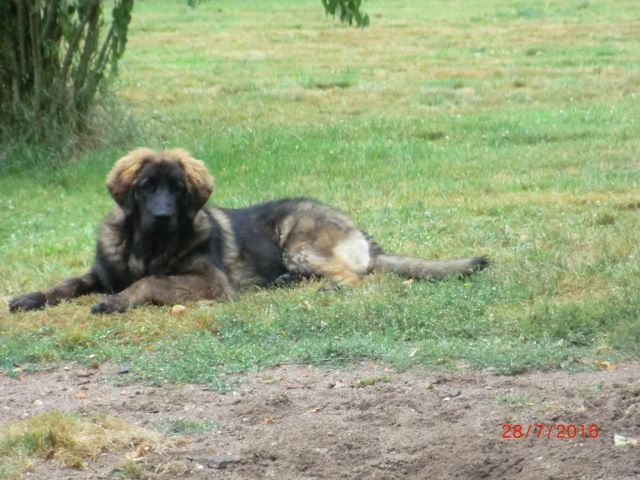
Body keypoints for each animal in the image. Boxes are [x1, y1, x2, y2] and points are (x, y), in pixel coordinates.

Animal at [9, 148, 488, 314]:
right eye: (146, 188)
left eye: (177, 190)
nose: (162, 215)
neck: (146, 245)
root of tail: (364, 236)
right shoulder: (102, 270)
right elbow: (67, 283)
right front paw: (31, 297)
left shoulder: (209, 282)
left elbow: (151, 282)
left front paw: (118, 301)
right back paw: (283, 282)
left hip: (300, 243)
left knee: (355, 278)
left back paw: (327, 287)